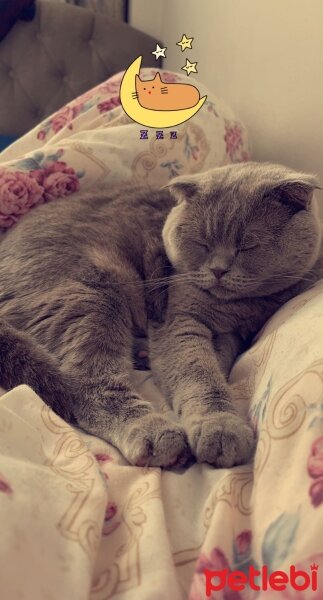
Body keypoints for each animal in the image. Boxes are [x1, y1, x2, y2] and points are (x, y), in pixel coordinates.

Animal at [0, 163, 322, 468]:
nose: (218, 270)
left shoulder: (230, 335)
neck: (243, 307)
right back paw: (157, 437)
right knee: (85, 388)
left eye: (248, 245)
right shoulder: (178, 320)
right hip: (89, 295)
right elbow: (201, 375)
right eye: (202, 242)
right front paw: (220, 429)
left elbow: (211, 367)